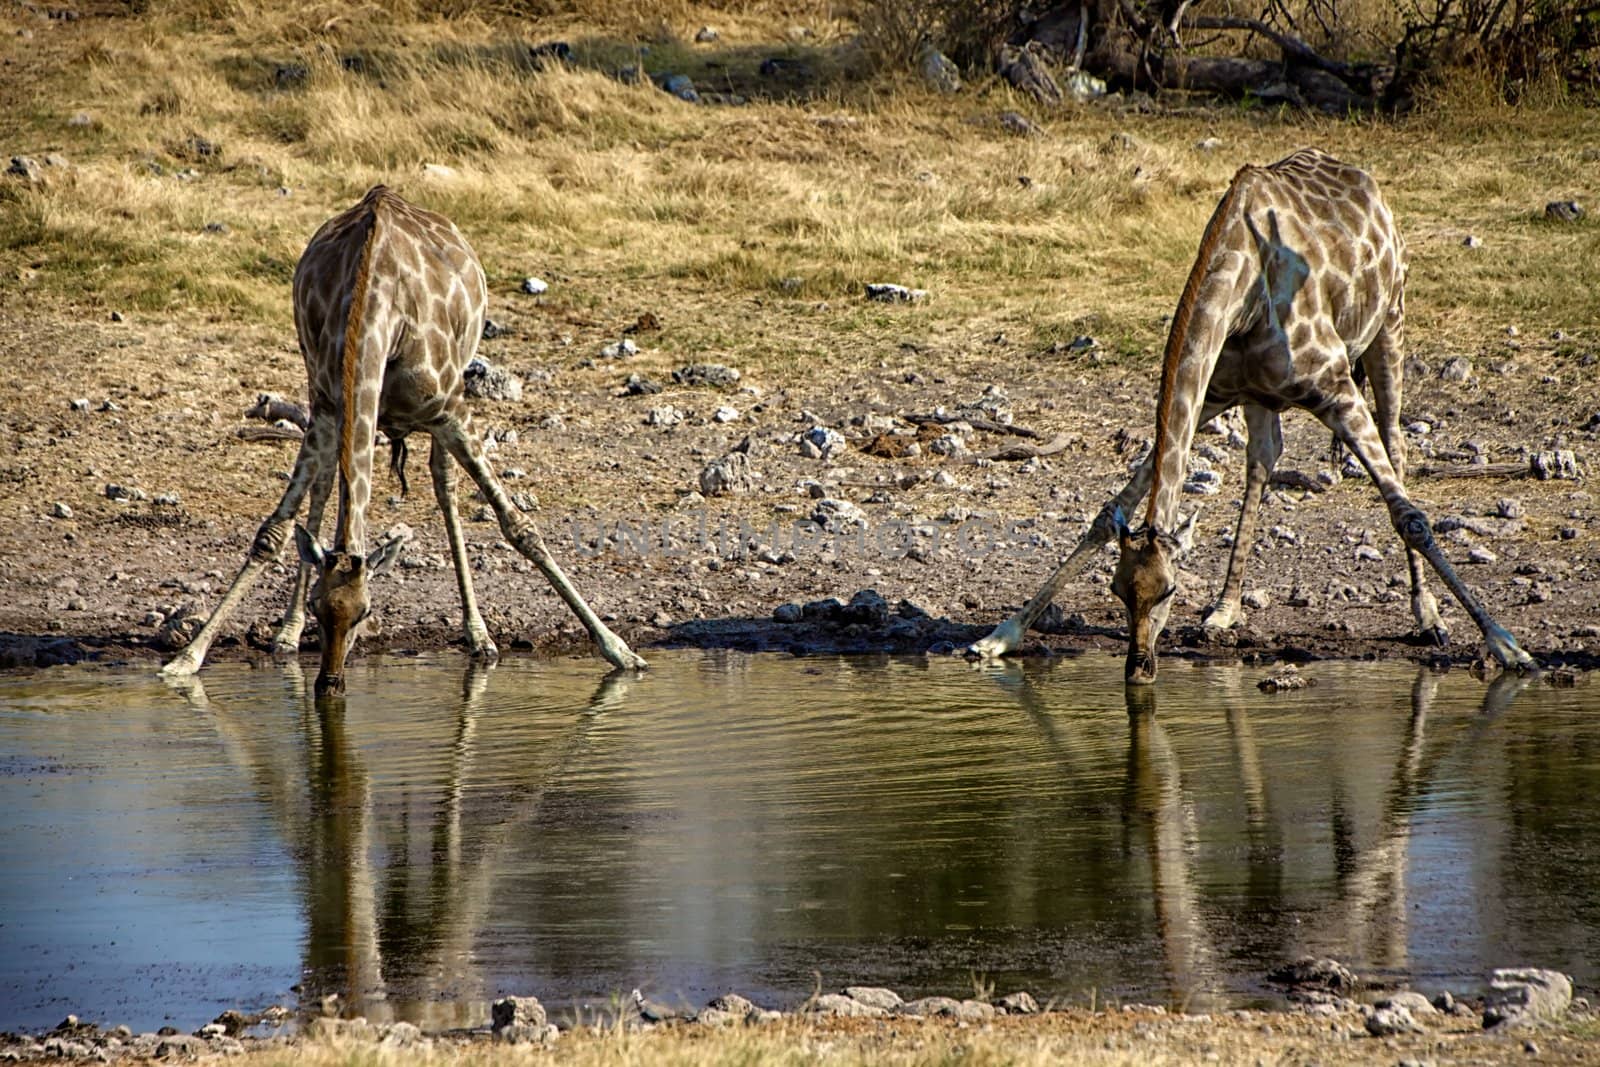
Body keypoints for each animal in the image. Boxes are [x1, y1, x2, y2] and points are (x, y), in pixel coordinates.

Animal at [157, 187, 643, 697]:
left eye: (366, 612)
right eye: (317, 607)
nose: (329, 683)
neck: (377, 316)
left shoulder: (450, 409)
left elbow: (519, 526)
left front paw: (619, 650)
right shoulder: (328, 408)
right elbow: (273, 531)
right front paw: (187, 658)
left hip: (456, 382)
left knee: (444, 484)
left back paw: (480, 637)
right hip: (318, 389)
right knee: (324, 488)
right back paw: (286, 636)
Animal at [966, 147, 1529, 684]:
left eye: (1169, 591)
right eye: (1117, 589)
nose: (1139, 668)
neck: (1247, 292)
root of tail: (1369, 186)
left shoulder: (1336, 387)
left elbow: (1408, 516)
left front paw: (1507, 645)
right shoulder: (1214, 393)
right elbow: (1108, 514)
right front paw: (999, 637)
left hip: (1390, 325)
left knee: (1396, 442)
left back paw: (1427, 616)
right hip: (1263, 396)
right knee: (1263, 462)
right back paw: (1226, 609)